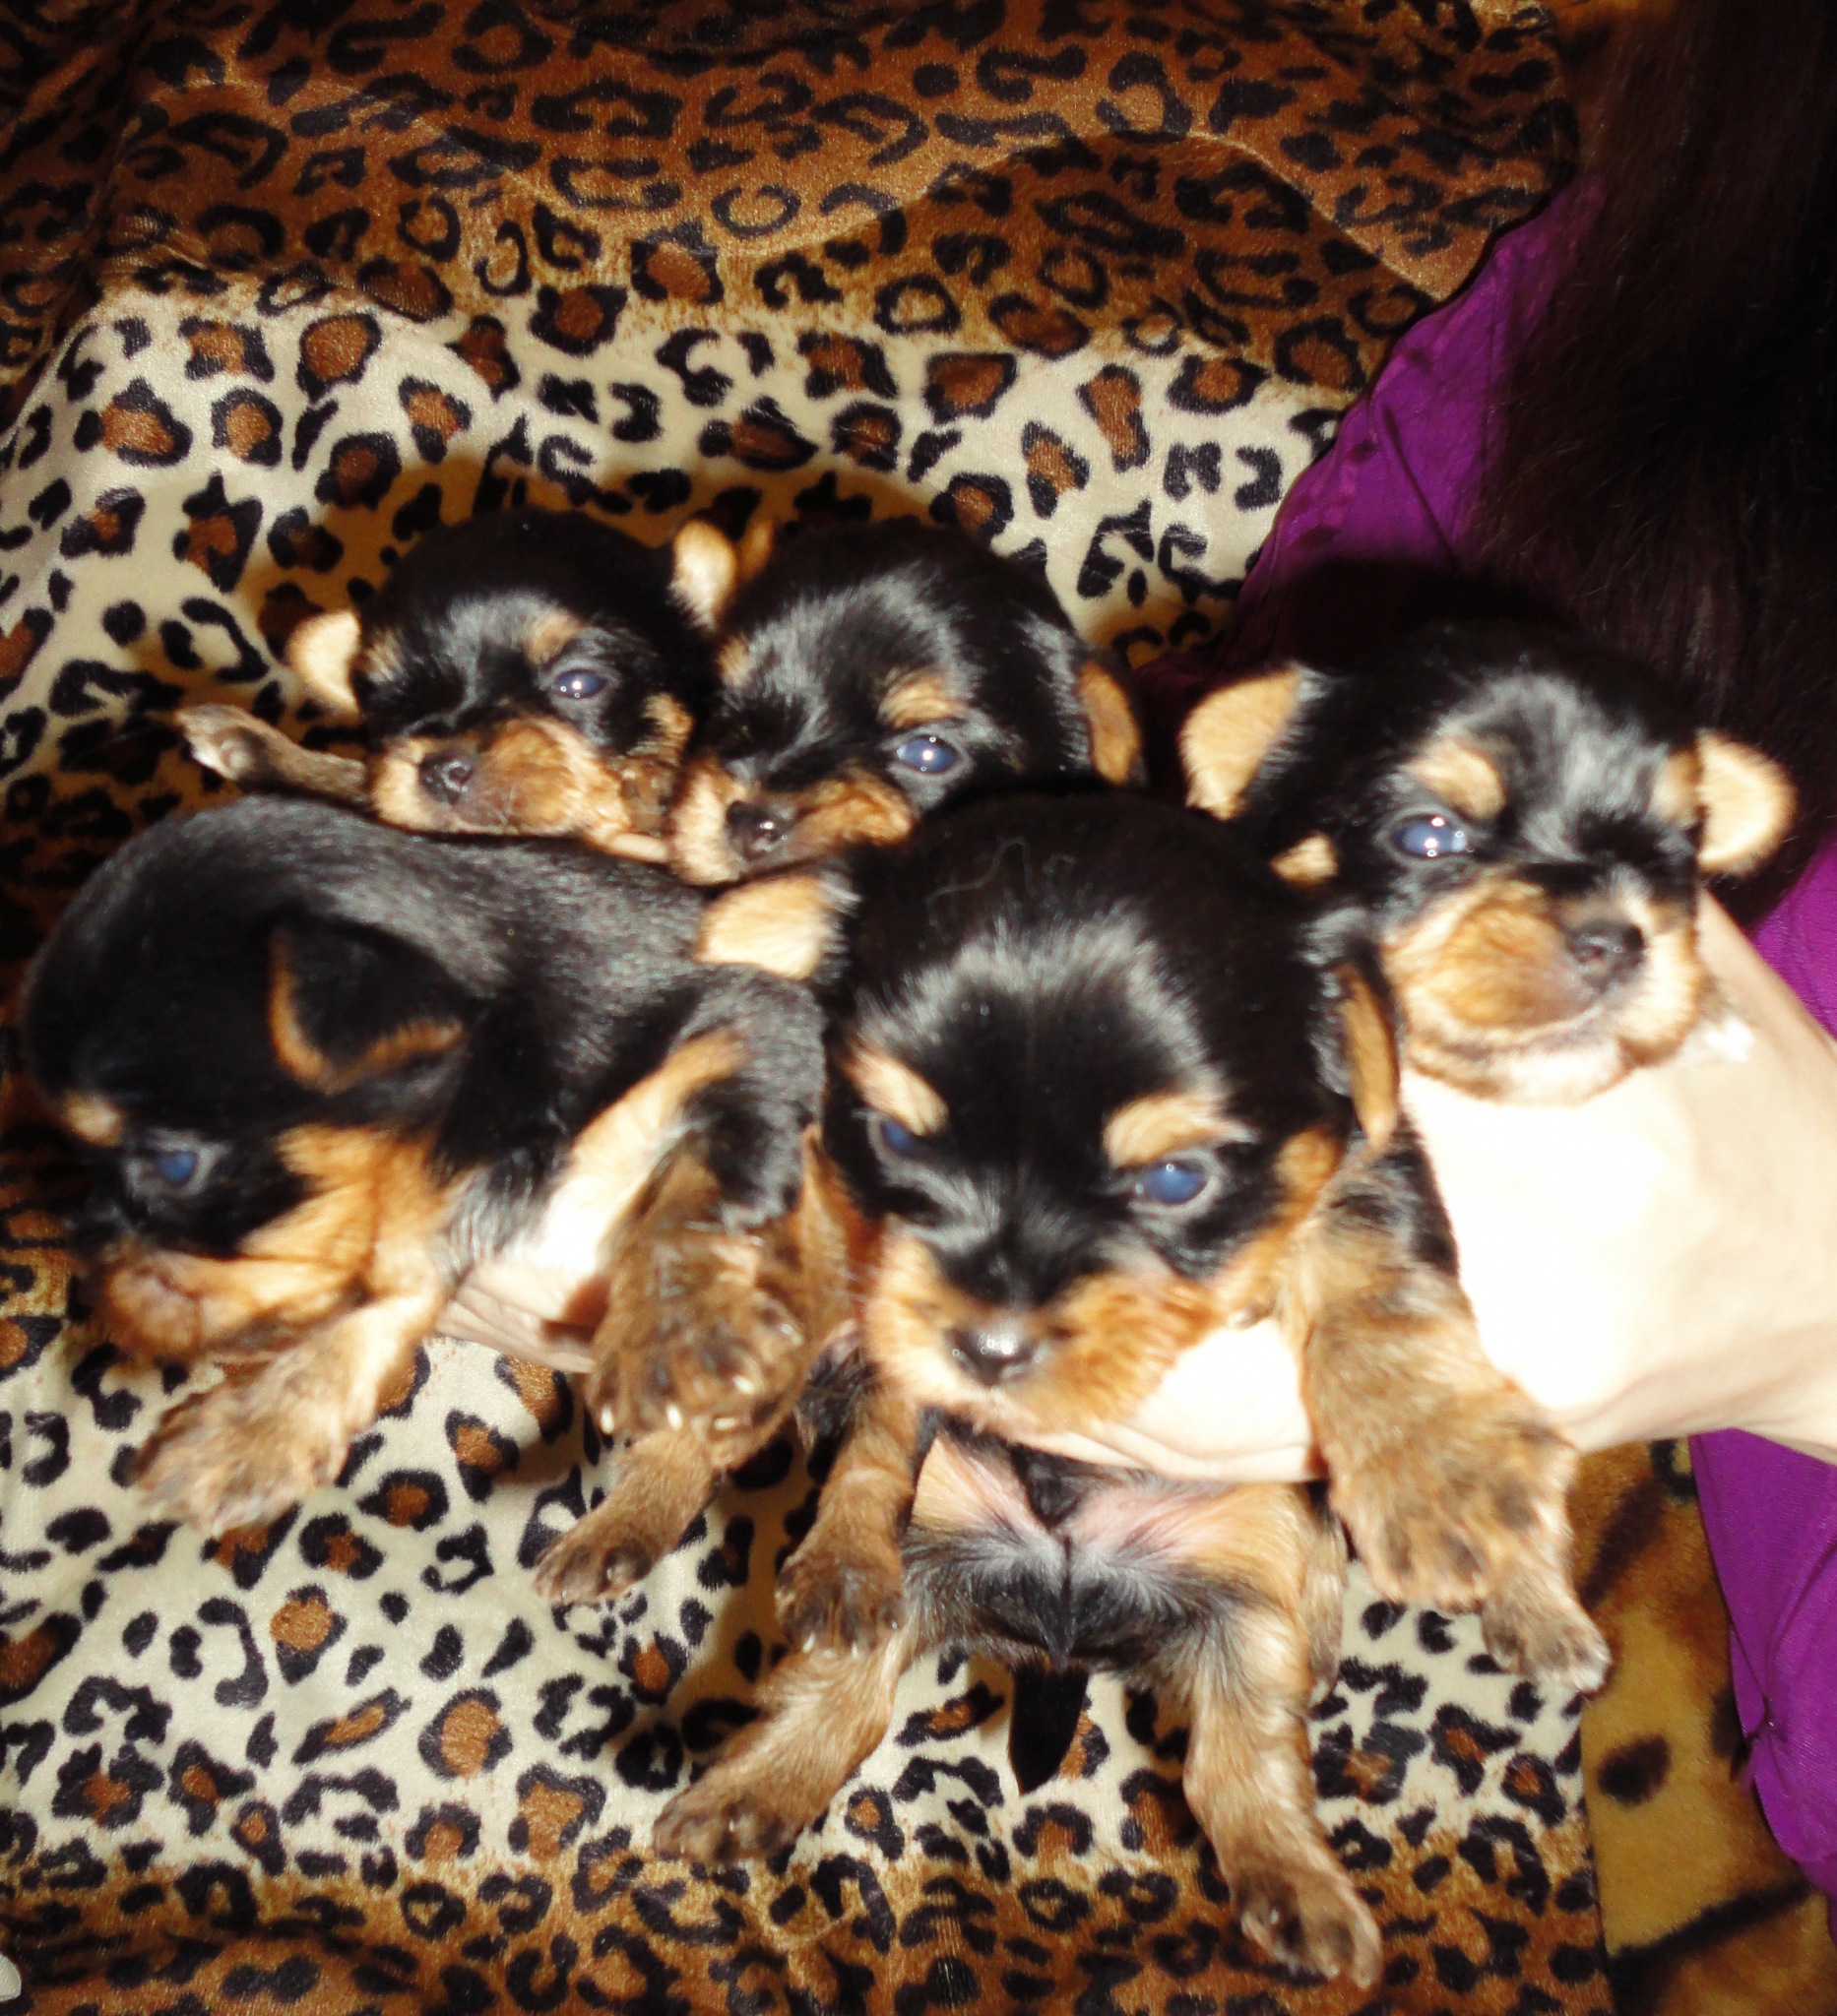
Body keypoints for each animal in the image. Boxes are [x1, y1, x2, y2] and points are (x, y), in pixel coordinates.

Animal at [17, 796, 833, 1538]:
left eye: (175, 1166)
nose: (91, 1266)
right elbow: (386, 1296)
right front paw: (259, 1432)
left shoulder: (752, 1022)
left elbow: (698, 1199)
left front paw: (674, 1330)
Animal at [647, 793, 1603, 1986]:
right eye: (896, 1136)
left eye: (1177, 1178)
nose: (990, 1346)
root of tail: (1070, 1615)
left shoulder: (1362, 1174)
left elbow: (1379, 1296)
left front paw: (1441, 1473)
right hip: (936, 1555)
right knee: (843, 1685)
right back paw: (744, 1795)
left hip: (1246, 1602)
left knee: (1245, 1756)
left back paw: (1309, 1886)